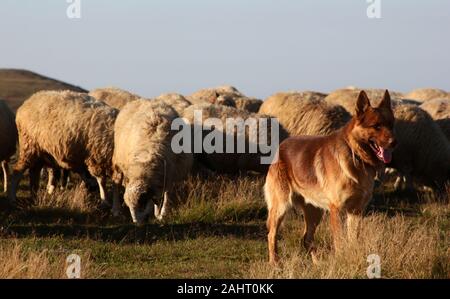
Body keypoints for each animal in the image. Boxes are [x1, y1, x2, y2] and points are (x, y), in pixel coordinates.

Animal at [266, 89, 396, 264]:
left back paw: (317, 264)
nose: (394, 142)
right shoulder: (337, 210)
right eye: (377, 126)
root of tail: (281, 145)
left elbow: (353, 240)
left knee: (307, 238)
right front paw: (341, 260)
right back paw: (275, 263)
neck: (355, 155)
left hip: (315, 212)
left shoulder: (356, 211)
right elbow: (340, 241)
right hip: (281, 206)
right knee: (272, 235)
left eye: (391, 125)